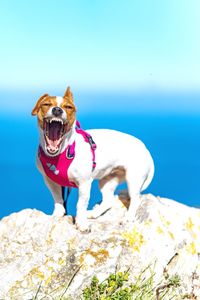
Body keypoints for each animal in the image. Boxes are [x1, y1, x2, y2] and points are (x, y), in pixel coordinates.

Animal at [31, 86, 155, 232]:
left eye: (68, 107)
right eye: (46, 104)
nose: (57, 110)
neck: (62, 152)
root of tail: (145, 149)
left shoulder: (84, 183)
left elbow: (80, 205)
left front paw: (81, 223)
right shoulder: (51, 181)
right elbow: (58, 199)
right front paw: (58, 214)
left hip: (133, 179)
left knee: (135, 199)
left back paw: (128, 217)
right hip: (107, 180)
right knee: (108, 200)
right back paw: (93, 213)